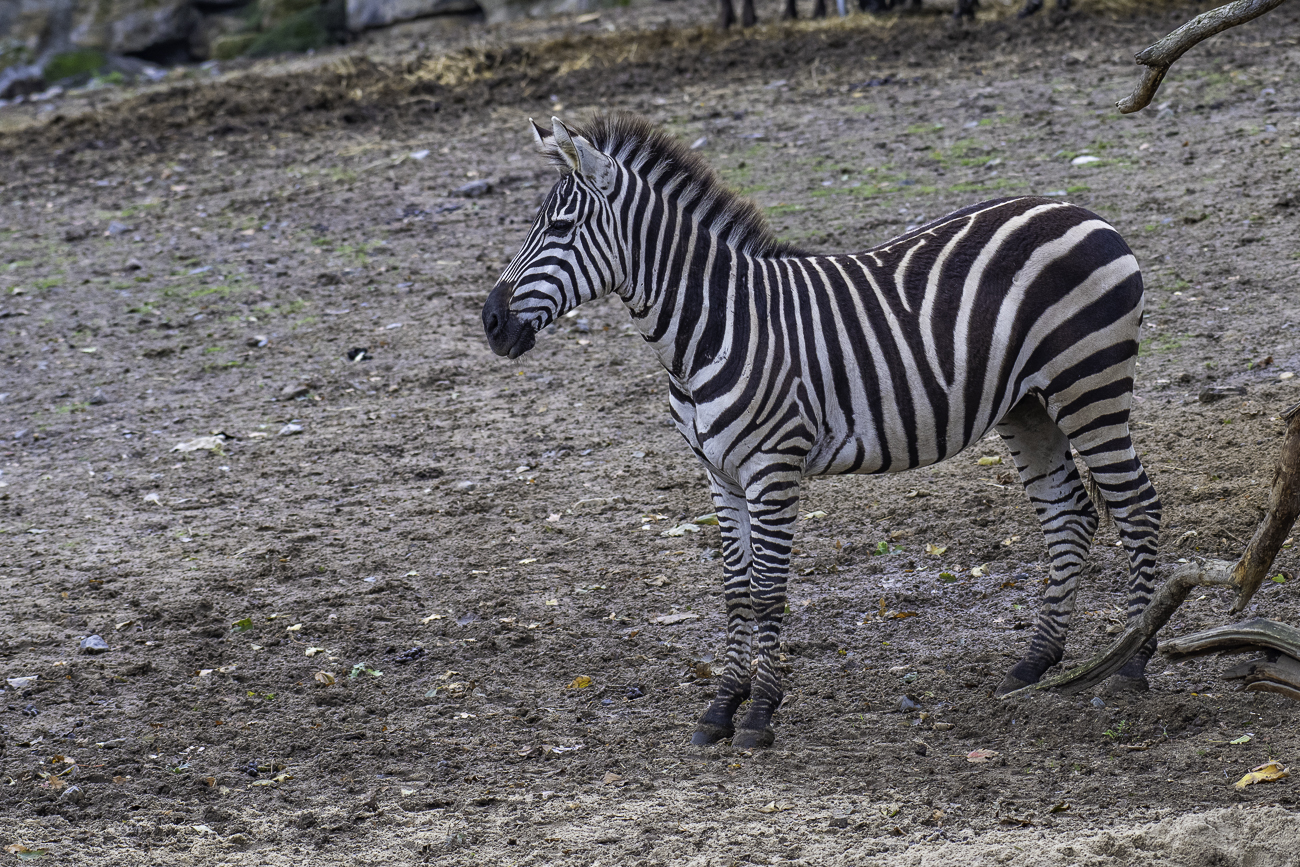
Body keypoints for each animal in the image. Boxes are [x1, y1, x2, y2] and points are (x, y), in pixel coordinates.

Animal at [482, 114, 1162, 749]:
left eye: (561, 228)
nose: (490, 323)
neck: (712, 327)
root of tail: (1082, 210)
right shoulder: (719, 474)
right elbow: (734, 589)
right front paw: (720, 709)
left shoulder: (772, 466)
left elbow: (766, 590)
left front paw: (758, 714)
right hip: (1028, 406)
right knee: (1071, 513)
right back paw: (1034, 663)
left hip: (1088, 385)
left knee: (1137, 506)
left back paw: (1132, 663)